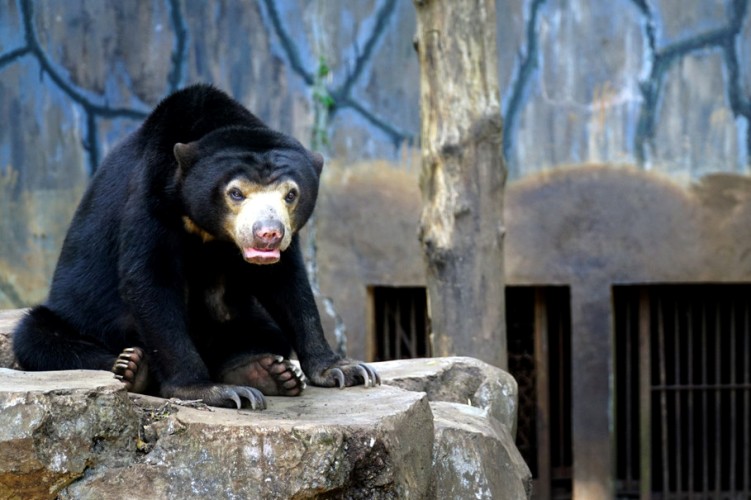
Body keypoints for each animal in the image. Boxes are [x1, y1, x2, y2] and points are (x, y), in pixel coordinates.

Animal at [9, 84, 378, 408]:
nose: (268, 234)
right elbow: (150, 280)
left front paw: (346, 370)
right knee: (37, 336)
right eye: (235, 192)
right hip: (81, 316)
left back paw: (266, 372)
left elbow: (288, 284)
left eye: (290, 194)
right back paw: (133, 367)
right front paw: (211, 391)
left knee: (266, 333)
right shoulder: (150, 199)